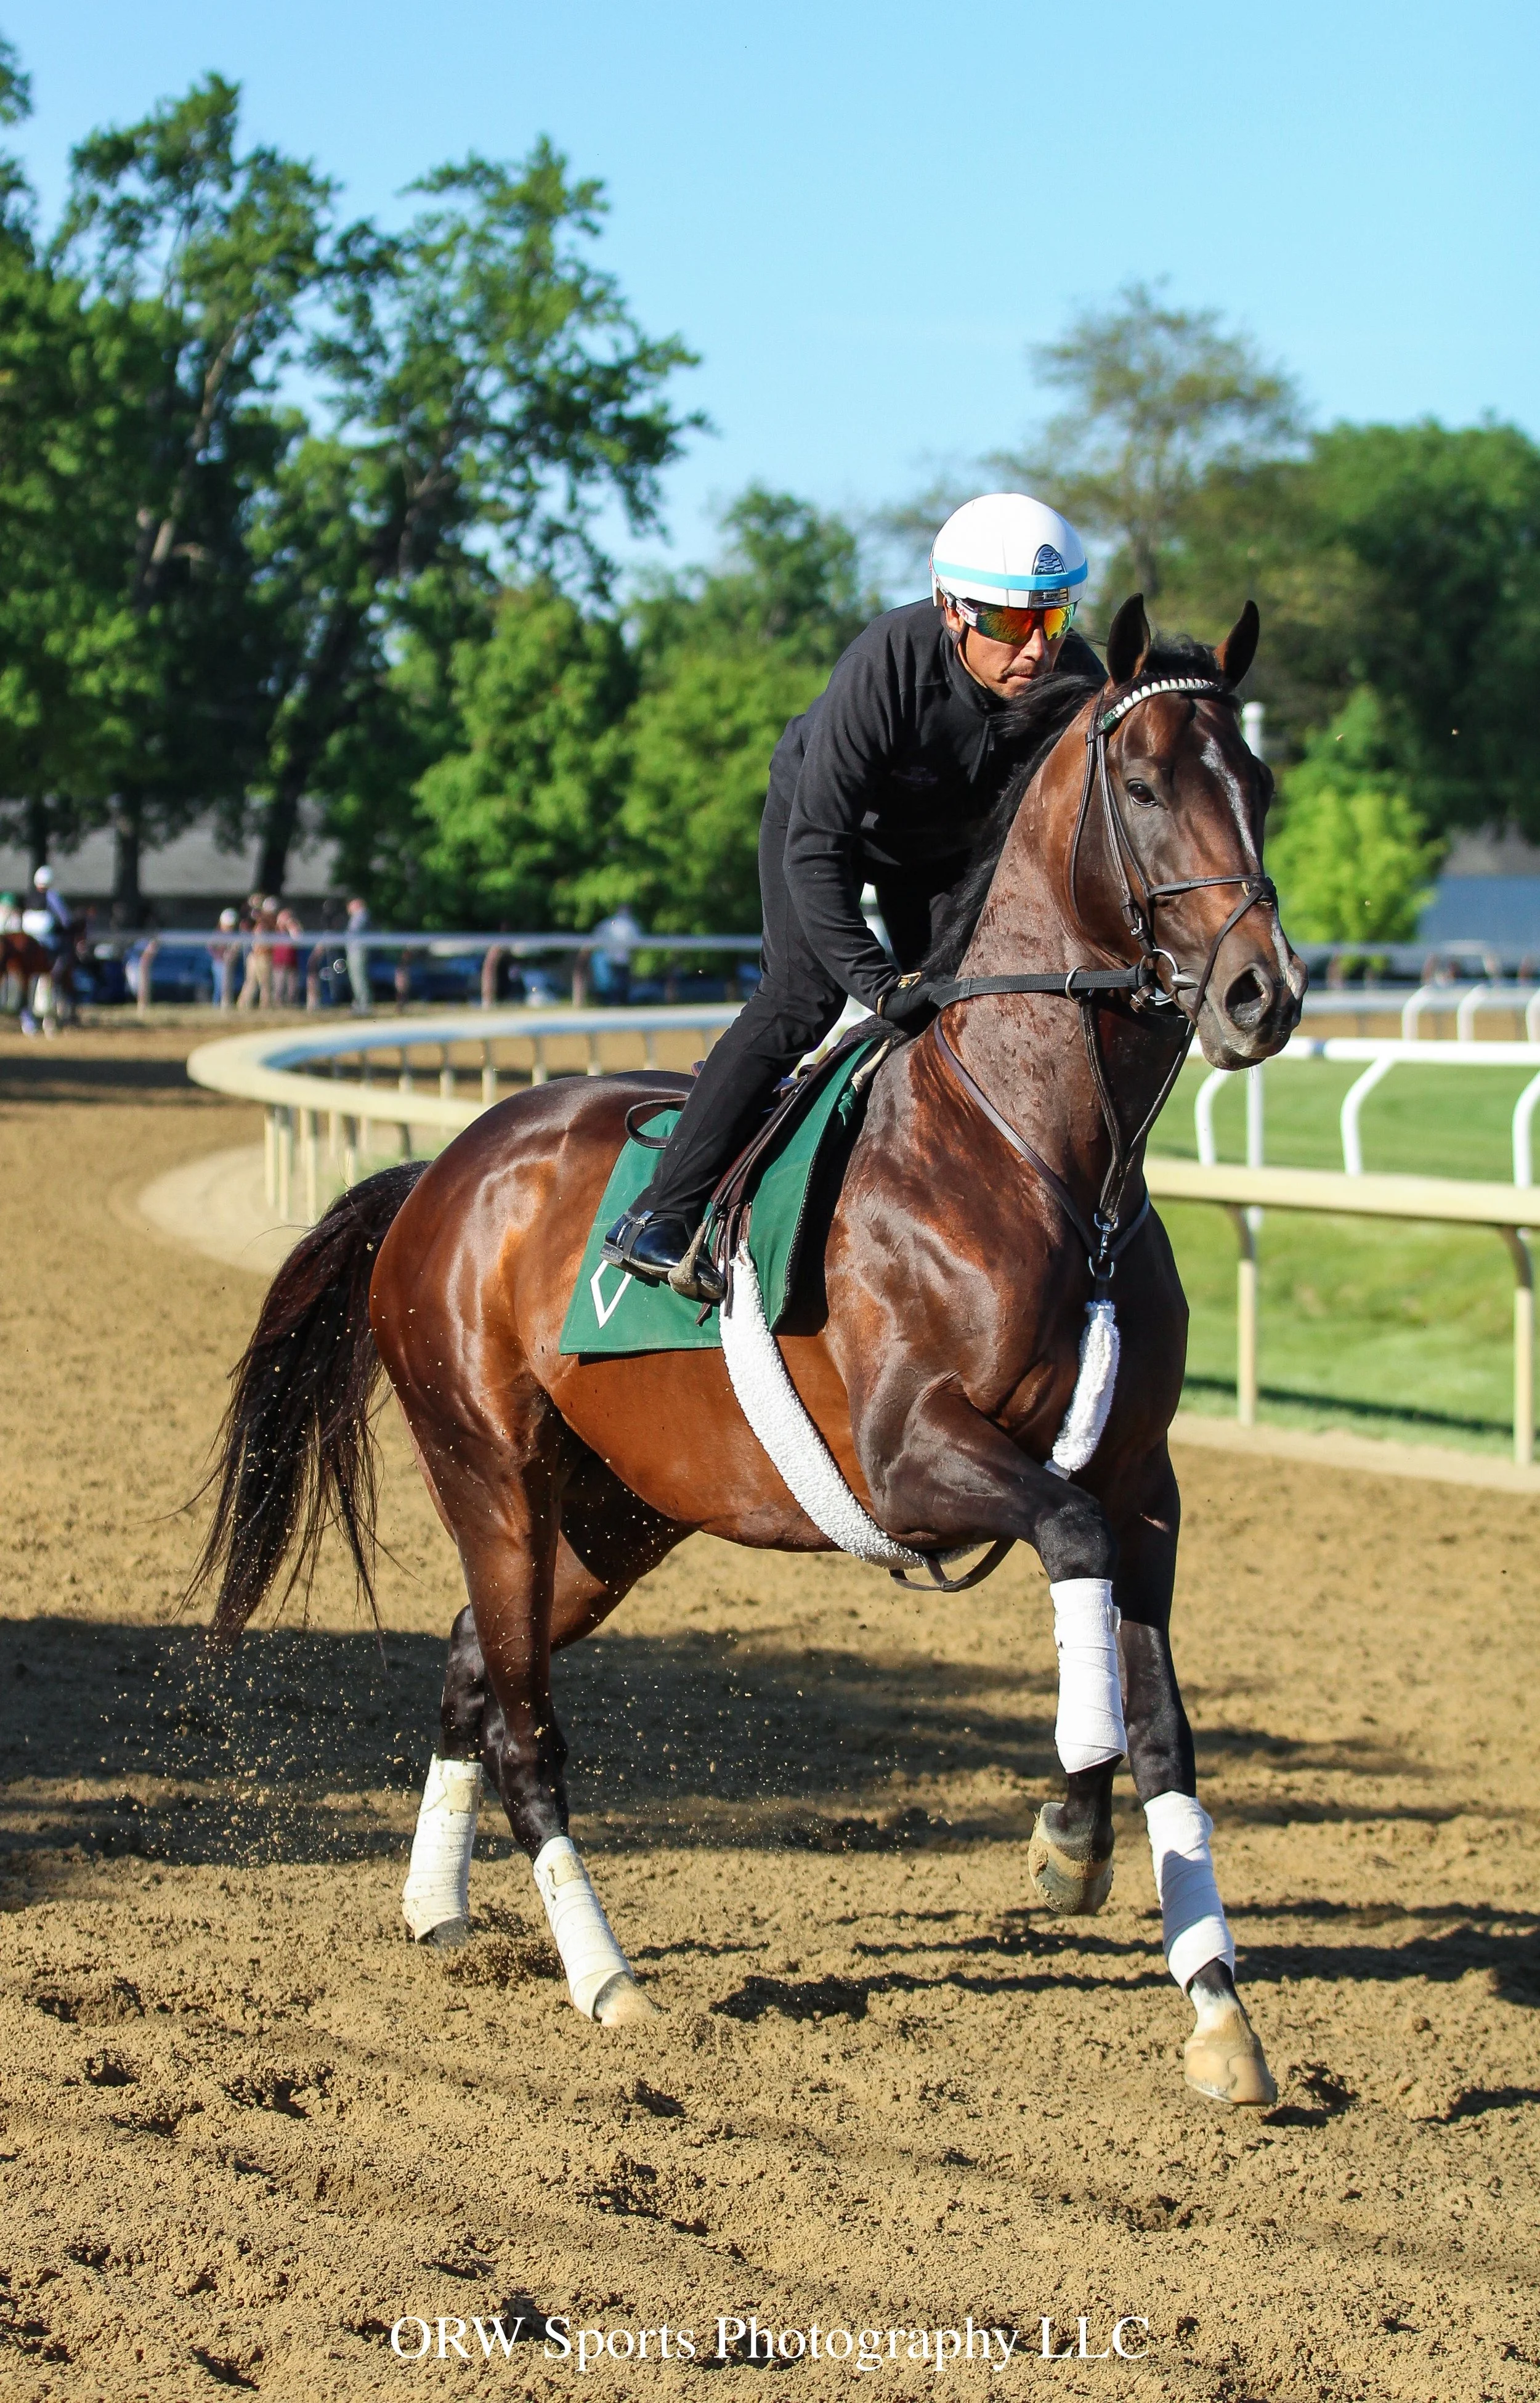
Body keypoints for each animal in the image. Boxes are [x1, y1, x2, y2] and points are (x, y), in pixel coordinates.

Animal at [191, 596, 1305, 2106]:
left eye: (1258, 783)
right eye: (1140, 787)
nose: (1261, 994)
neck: (1043, 1164)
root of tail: (440, 1174)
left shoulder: (1144, 1482)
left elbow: (1162, 1721)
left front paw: (1214, 2004)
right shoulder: (912, 1456)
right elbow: (1068, 1560)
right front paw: (1069, 1830)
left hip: (616, 1515)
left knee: (475, 1659)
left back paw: (437, 1907)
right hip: (489, 1468)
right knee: (527, 1722)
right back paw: (604, 1975)